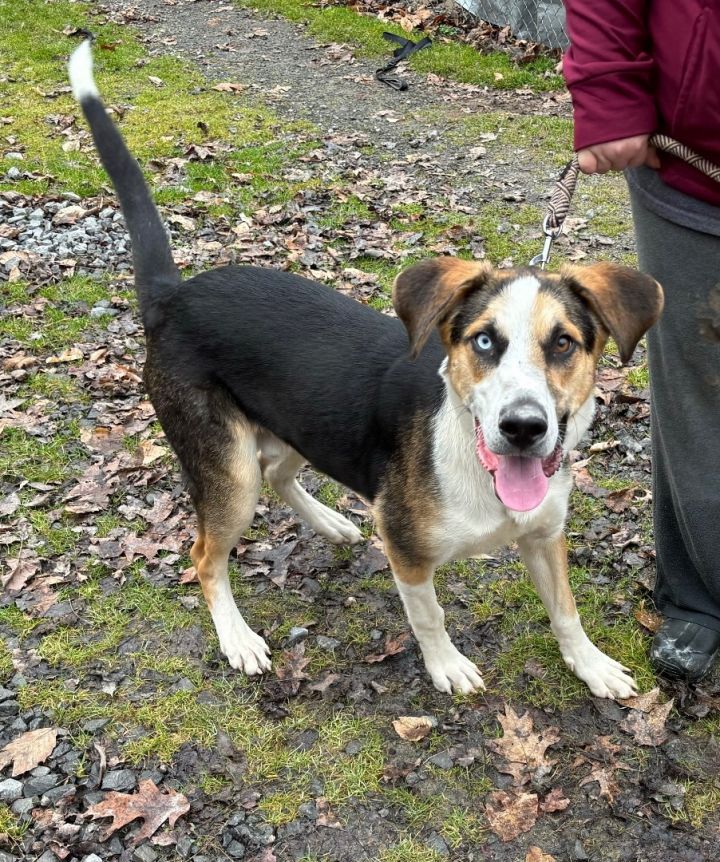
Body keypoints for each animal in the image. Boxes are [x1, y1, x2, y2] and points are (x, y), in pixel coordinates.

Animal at [69, 42, 664, 704]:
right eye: (484, 340)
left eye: (563, 343)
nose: (523, 428)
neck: (472, 455)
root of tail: (172, 298)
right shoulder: (408, 551)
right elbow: (428, 615)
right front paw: (446, 665)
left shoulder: (543, 535)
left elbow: (566, 611)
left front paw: (591, 664)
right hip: (228, 469)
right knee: (206, 555)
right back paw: (238, 638)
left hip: (303, 420)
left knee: (279, 471)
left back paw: (330, 522)